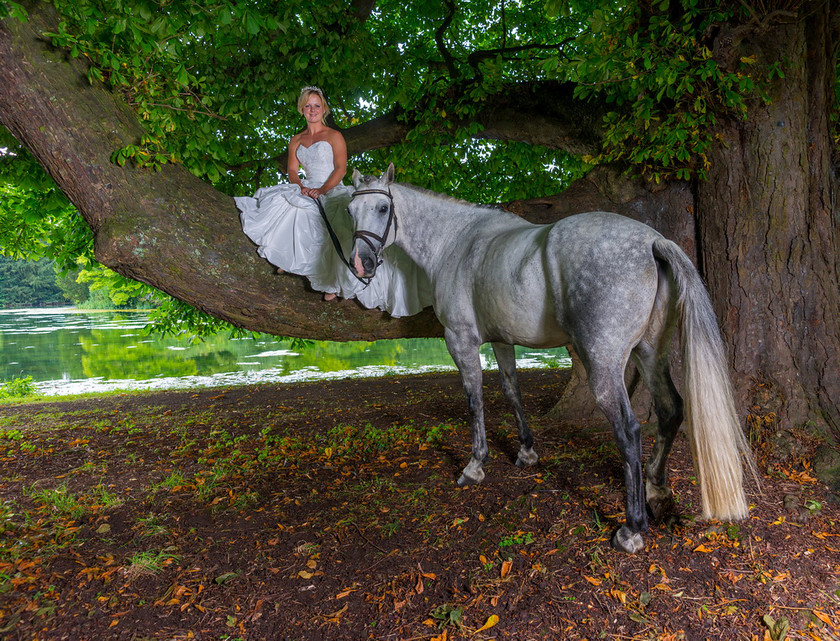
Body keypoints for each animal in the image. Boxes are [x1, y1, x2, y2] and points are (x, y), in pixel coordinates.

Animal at [344, 164, 756, 552]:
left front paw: (475, 465)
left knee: (629, 430)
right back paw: (656, 490)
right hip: (651, 353)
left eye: (383, 208)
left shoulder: (461, 341)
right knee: (671, 410)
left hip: (605, 366)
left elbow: (474, 401)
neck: (456, 242)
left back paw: (632, 528)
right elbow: (512, 392)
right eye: (350, 210)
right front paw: (526, 451)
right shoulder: (502, 342)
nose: (361, 263)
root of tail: (653, 241)